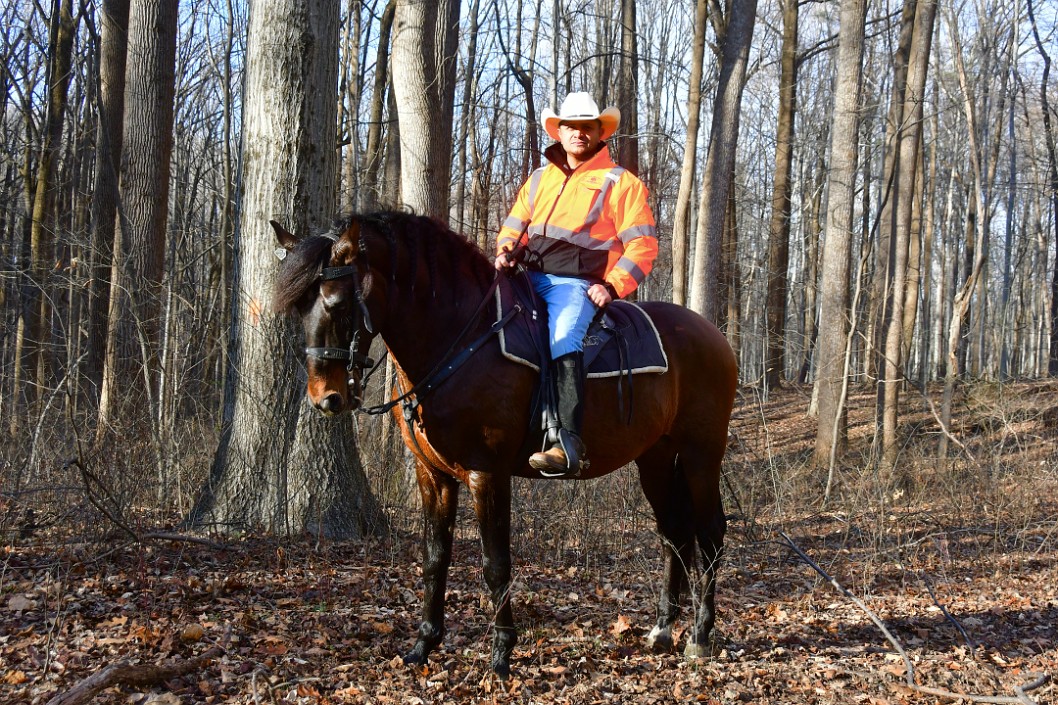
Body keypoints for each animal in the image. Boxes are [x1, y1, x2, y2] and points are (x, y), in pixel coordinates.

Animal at [272, 209, 736, 677]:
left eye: (337, 303)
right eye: (299, 306)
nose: (325, 398)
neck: (459, 337)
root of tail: (714, 335)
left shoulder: (487, 473)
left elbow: (495, 564)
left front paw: (501, 655)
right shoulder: (433, 475)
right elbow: (435, 557)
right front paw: (424, 645)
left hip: (701, 454)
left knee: (710, 533)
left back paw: (700, 635)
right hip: (655, 458)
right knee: (674, 533)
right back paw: (662, 630)